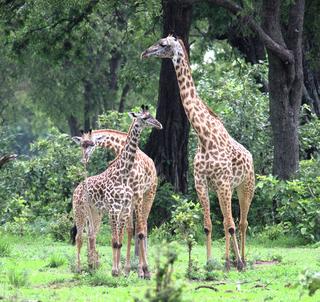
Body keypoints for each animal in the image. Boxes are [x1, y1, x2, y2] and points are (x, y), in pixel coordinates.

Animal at [72, 105, 162, 276]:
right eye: (144, 118)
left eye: (92, 144)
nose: (159, 125)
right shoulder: (115, 208)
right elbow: (116, 239)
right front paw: (117, 270)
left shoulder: (129, 202)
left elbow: (127, 236)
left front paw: (124, 270)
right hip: (82, 212)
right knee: (81, 237)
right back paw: (82, 268)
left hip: (145, 196)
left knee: (141, 228)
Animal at [142, 35, 255, 272]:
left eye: (163, 44)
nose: (145, 53)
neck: (205, 137)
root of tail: (250, 156)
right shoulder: (201, 183)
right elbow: (208, 225)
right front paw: (210, 263)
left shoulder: (223, 182)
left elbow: (230, 225)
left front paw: (232, 263)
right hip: (228, 188)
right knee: (231, 221)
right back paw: (233, 261)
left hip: (246, 185)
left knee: (241, 223)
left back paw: (242, 261)